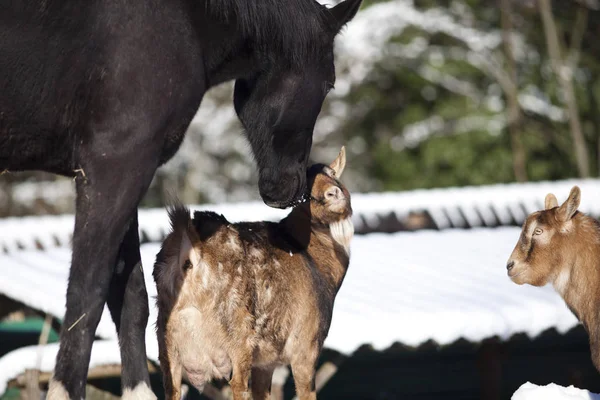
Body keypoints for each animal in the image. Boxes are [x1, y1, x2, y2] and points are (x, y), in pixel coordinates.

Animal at [152, 148, 354, 400]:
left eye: (333, 174)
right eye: (304, 191)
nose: (334, 193)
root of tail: (189, 256)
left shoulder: (265, 363)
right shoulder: (305, 345)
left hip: (166, 342)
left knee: (172, 387)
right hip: (238, 335)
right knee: (238, 384)